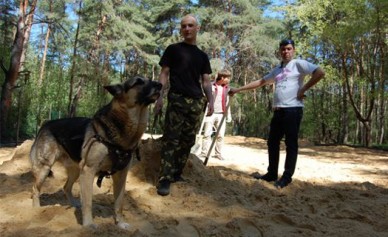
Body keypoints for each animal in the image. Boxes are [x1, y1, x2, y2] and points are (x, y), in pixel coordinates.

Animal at [30, 76, 162, 228]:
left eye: (149, 79)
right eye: (138, 82)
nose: (160, 84)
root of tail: (44, 125)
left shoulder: (121, 175)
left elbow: (119, 204)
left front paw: (120, 223)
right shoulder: (89, 171)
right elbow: (88, 202)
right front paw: (88, 225)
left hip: (76, 171)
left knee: (66, 187)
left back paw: (73, 204)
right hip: (45, 169)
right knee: (35, 189)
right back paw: (36, 210)